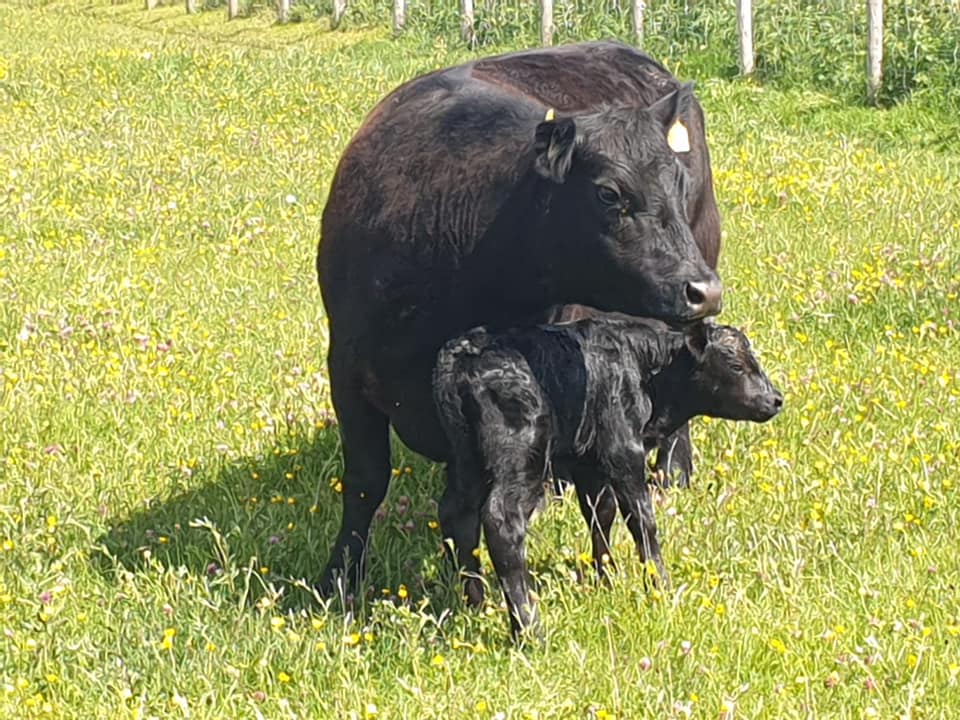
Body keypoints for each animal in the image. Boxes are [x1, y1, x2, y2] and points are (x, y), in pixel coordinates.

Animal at [318, 41, 724, 593]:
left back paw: (673, 471)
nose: (702, 288)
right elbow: (366, 481)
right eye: (609, 193)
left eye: (678, 183)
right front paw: (338, 580)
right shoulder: (346, 366)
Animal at [432, 320, 783, 636]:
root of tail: (465, 354)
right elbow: (641, 519)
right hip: (521, 456)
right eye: (736, 365)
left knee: (457, 514)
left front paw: (606, 579)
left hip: (466, 460)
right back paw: (529, 631)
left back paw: (475, 604)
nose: (776, 399)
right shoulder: (623, 450)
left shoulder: (587, 460)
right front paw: (659, 586)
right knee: (502, 522)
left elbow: (601, 513)